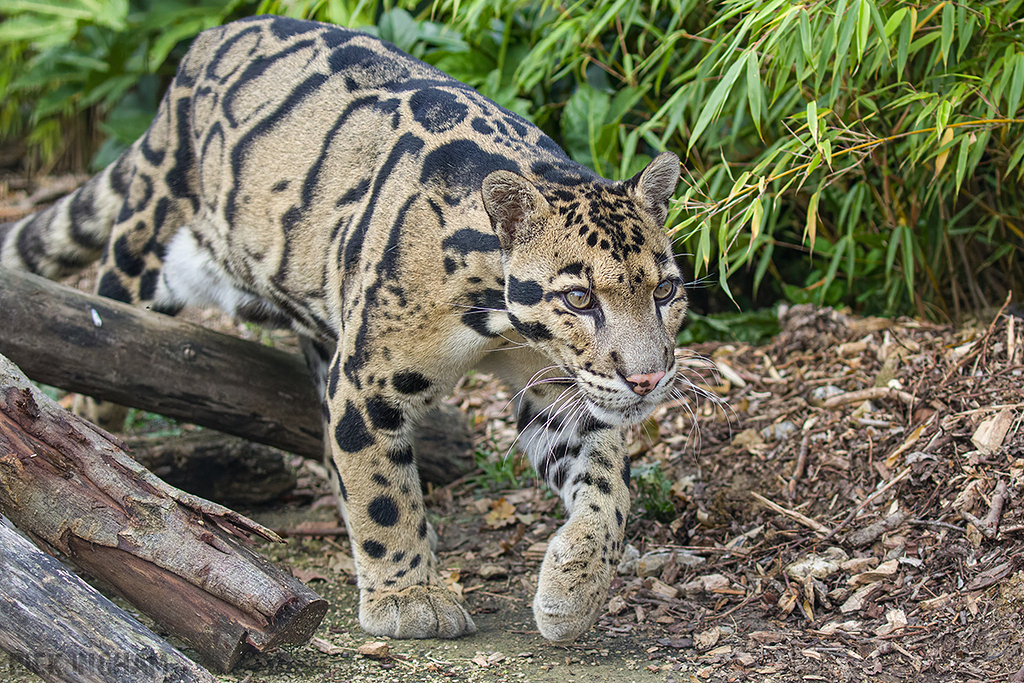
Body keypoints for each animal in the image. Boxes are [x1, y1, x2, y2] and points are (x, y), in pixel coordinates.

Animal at [0, 15, 688, 643]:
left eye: (665, 291)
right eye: (578, 297)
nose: (649, 378)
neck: (501, 323)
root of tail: (191, 61)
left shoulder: (562, 392)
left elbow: (610, 490)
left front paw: (574, 587)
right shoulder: (370, 381)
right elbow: (380, 489)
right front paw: (409, 596)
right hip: (145, 255)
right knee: (104, 349)